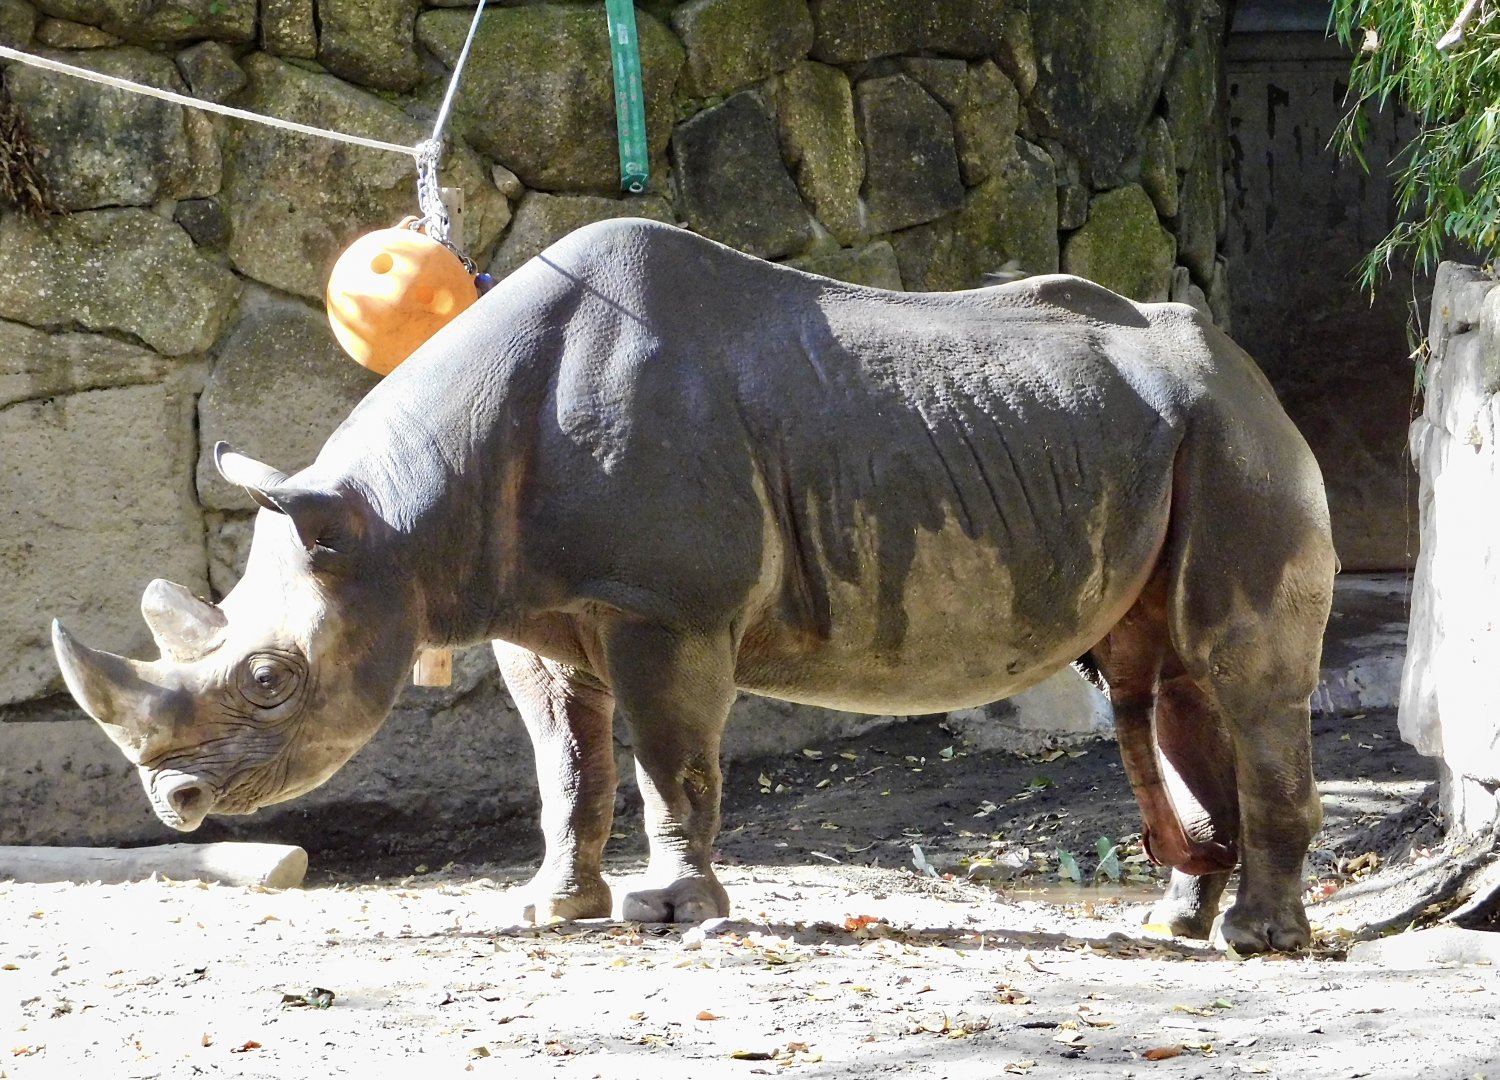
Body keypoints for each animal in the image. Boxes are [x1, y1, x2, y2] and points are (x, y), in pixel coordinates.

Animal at [51, 218, 1334, 953]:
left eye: (272, 679)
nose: (170, 801)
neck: (398, 518)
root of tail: (1245, 368)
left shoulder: (666, 610)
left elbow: (670, 760)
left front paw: (667, 917)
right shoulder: (536, 611)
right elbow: (565, 768)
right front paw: (549, 911)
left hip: (1235, 440)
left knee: (1238, 669)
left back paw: (1261, 942)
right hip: (1172, 439)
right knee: (1163, 677)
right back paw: (1176, 922)